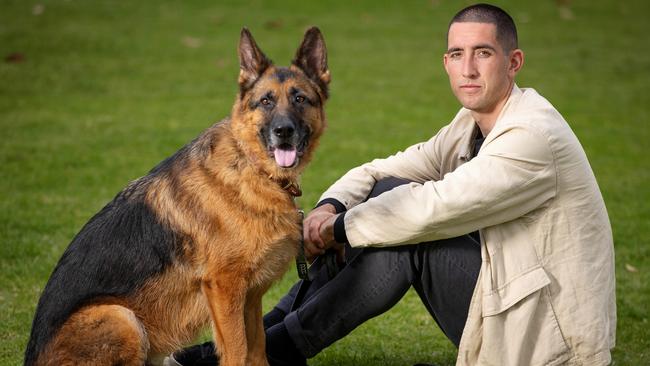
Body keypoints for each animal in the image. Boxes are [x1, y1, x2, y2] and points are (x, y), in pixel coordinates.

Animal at [25, 26, 330, 366]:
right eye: (266, 101)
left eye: (300, 99)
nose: (284, 131)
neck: (251, 167)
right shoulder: (224, 289)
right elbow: (238, 352)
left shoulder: (250, 297)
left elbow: (257, 350)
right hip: (123, 318)